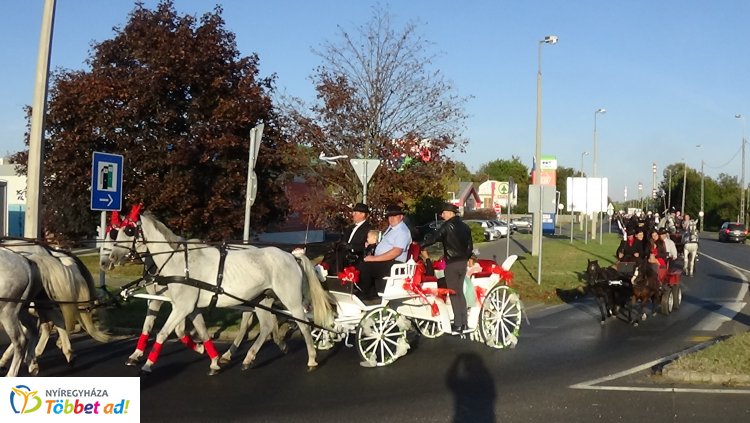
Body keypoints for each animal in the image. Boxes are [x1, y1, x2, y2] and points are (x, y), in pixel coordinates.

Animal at [103, 212, 324, 374]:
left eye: (129, 230)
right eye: (116, 232)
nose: (110, 259)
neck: (179, 262)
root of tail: (292, 256)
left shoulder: (181, 306)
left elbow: (163, 333)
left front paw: (148, 364)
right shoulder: (188, 307)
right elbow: (197, 331)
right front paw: (213, 359)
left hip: (291, 300)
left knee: (304, 325)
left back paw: (312, 359)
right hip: (262, 299)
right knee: (267, 326)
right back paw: (249, 357)